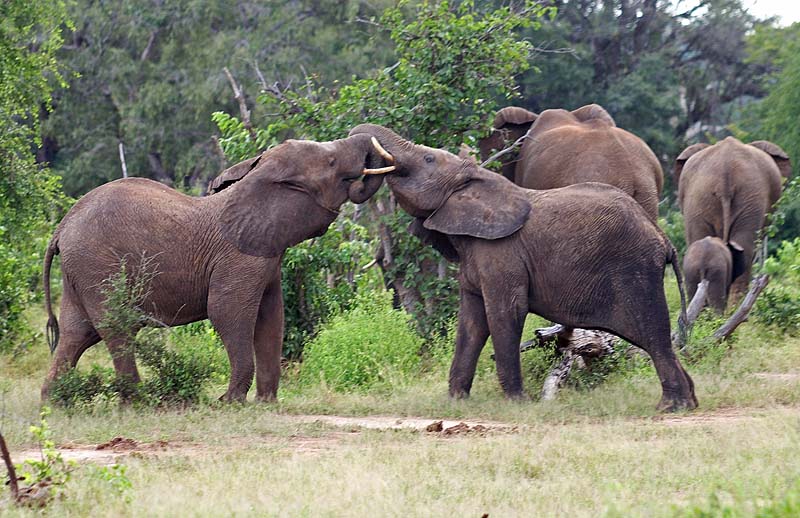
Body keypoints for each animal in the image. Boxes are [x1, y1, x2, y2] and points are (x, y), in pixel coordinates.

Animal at [41, 134, 390, 402]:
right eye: (331, 161)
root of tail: (61, 228)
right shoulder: (239, 258)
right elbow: (227, 312)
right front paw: (230, 402)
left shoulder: (267, 254)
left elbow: (272, 319)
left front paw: (266, 404)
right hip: (97, 266)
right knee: (115, 328)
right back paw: (138, 403)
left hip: (80, 271)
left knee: (77, 333)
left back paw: (56, 404)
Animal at [346, 124, 696, 412]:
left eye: (428, 159)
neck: (479, 180)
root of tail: (664, 240)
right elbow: (471, 322)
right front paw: (456, 401)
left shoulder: (503, 253)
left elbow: (504, 314)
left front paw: (517, 402)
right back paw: (687, 401)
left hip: (636, 270)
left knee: (654, 336)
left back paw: (671, 406)